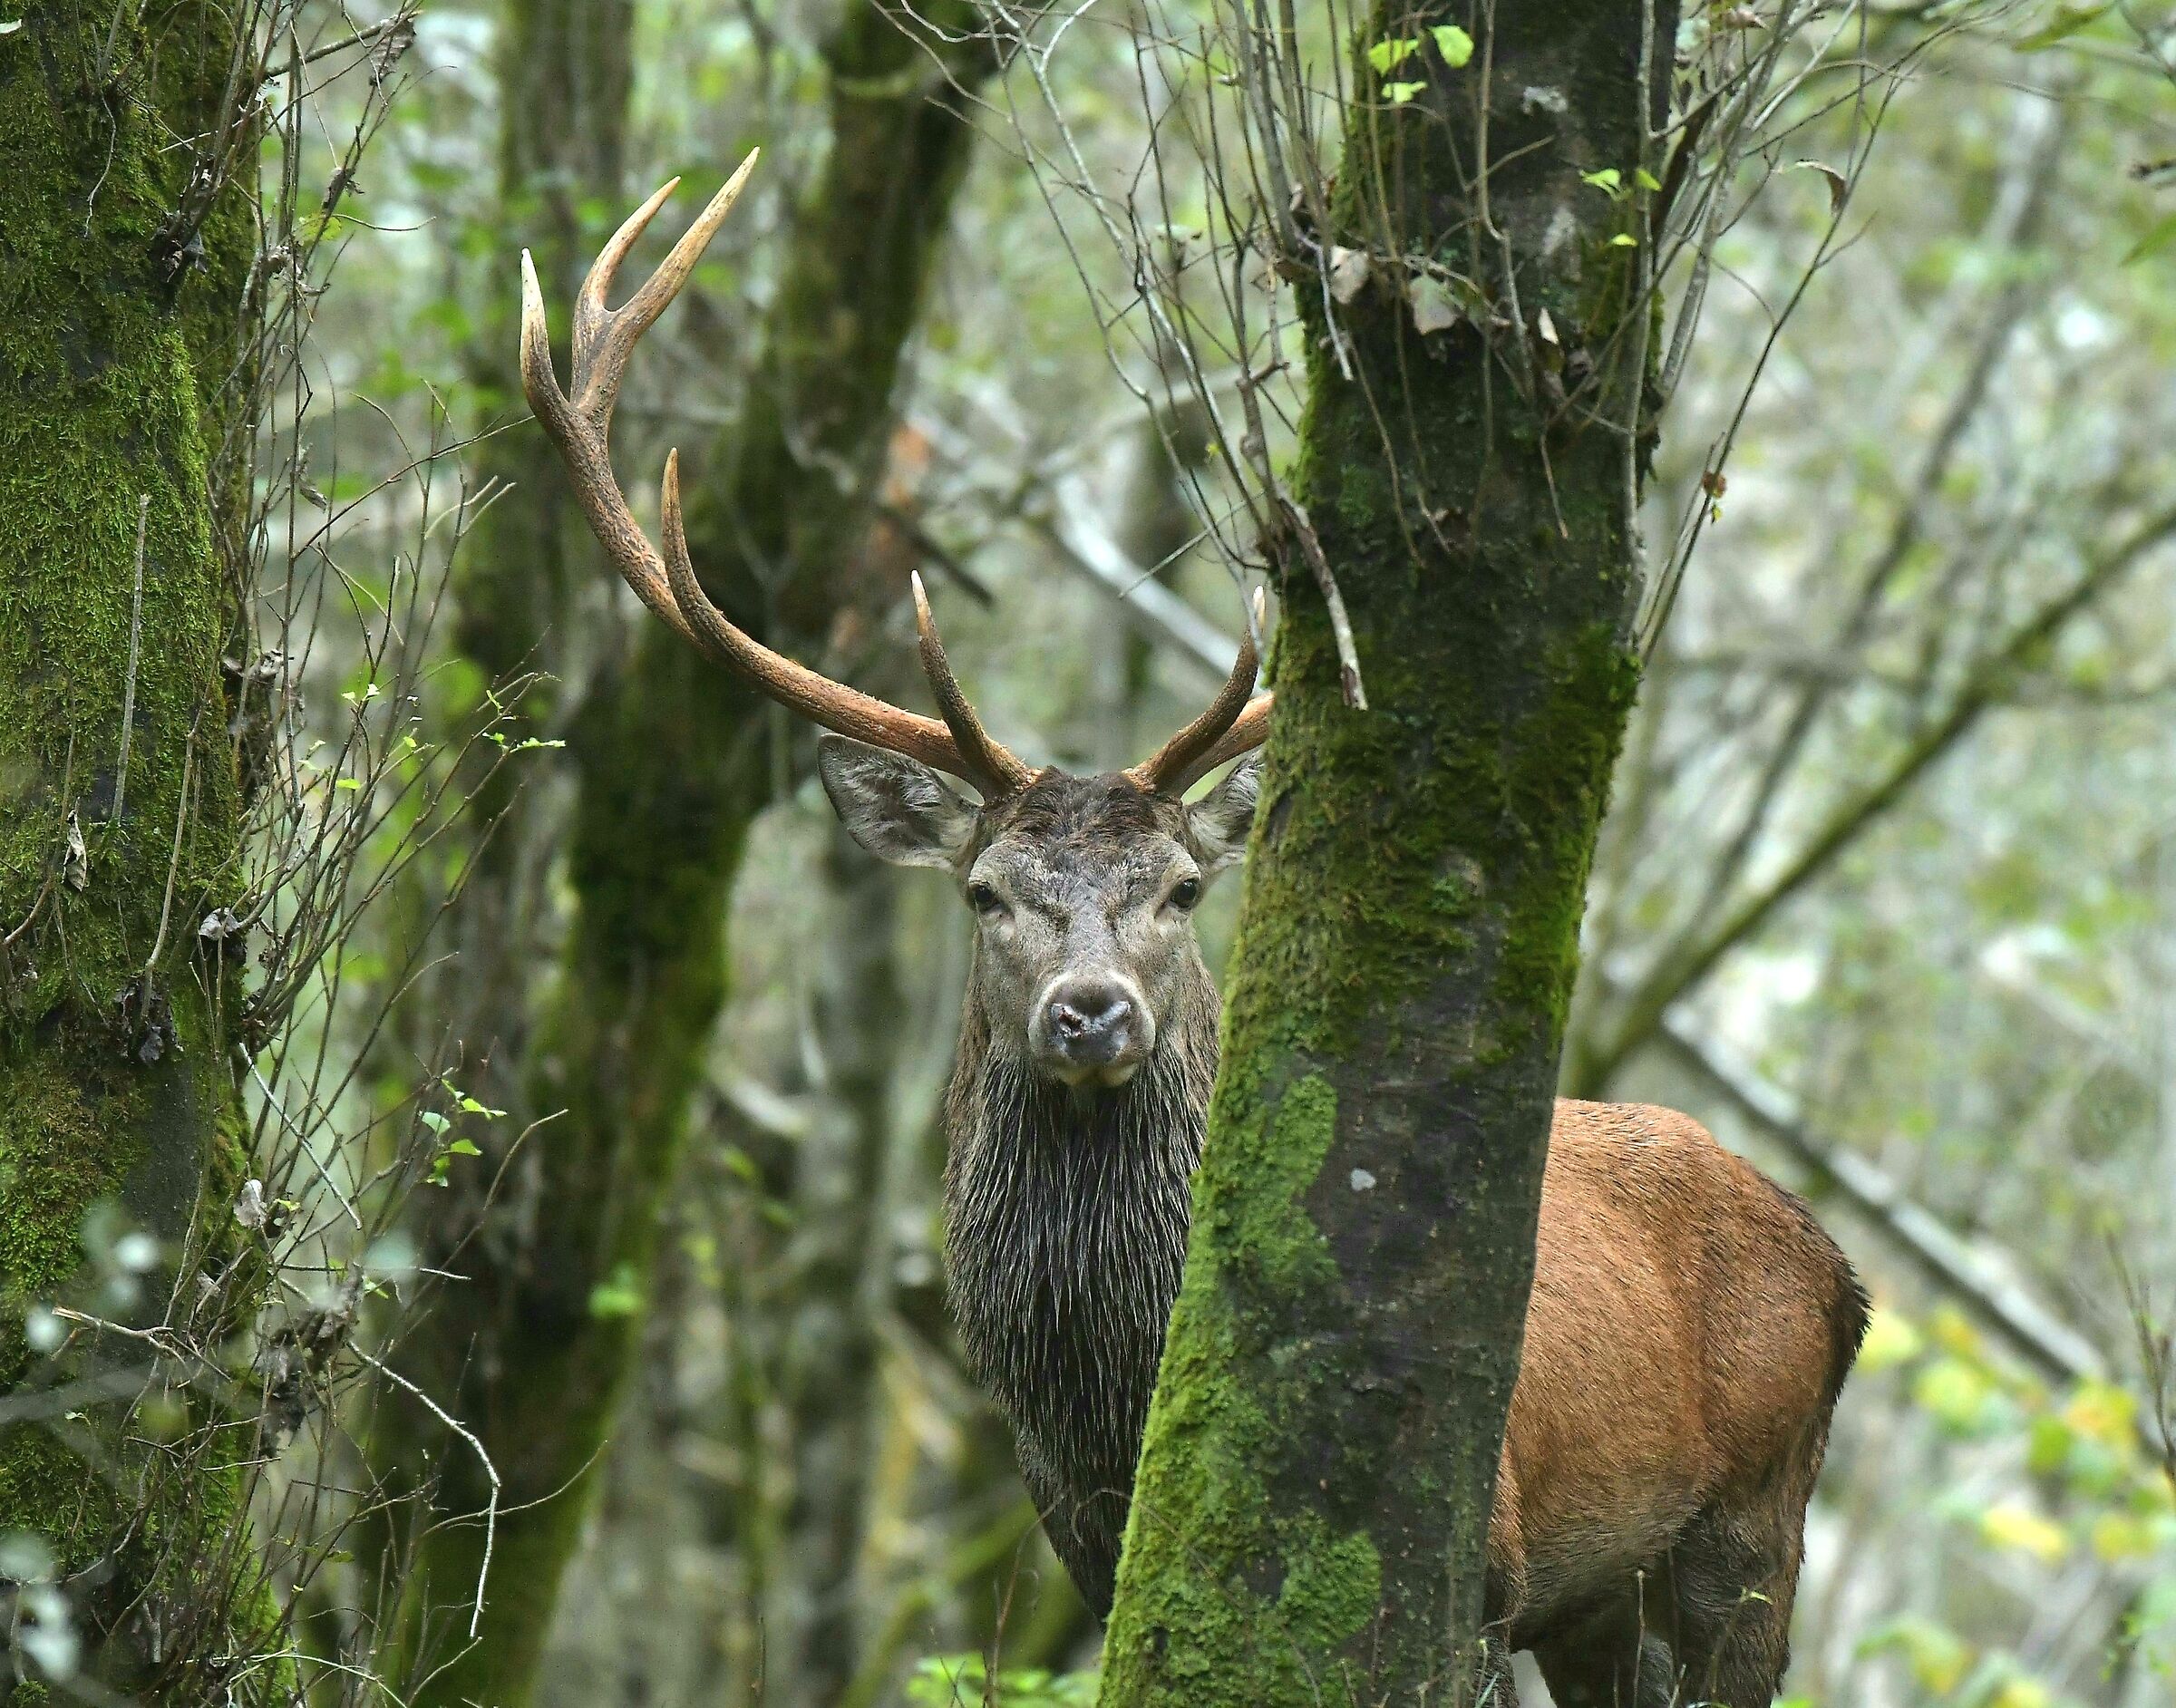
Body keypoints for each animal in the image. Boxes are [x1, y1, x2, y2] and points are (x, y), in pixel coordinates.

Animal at [519, 159, 1870, 1708]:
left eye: (1178, 888)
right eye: (985, 892)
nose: (1091, 1009)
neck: (1113, 1393)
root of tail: (1846, 1271)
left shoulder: (1481, 1559)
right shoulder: (1080, 1532)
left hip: (1750, 1526)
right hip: (1609, 1602)